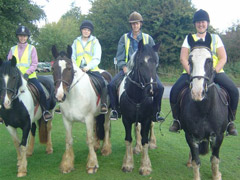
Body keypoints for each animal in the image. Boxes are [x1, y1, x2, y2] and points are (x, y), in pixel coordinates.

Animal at [51, 45, 111, 174]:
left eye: (69, 68)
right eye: (53, 68)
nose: (59, 96)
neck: (74, 96)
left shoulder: (88, 119)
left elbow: (89, 139)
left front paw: (92, 164)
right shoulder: (67, 120)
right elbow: (69, 140)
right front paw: (67, 164)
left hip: (107, 112)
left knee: (105, 127)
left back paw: (106, 149)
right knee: (96, 127)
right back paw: (96, 146)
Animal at [118, 39, 160, 176]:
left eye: (156, 63)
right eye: (141, 63)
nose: (152, 90)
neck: (137, 97)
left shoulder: (146, 119)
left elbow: (145, 140)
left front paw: (145, 166)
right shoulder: (126, 119)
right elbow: (128, 139)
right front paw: (128, 163)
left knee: (151, 127)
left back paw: (152, 143)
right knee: (137, 128)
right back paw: (137, 148)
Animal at [180, 32, 229, 180]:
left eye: (209, 61)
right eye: (190, 61)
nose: (197, 93)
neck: (204, 110)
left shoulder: (218, 136)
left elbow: (215, 160)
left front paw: (216, 175)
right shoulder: (190, 135)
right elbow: (196, 161)